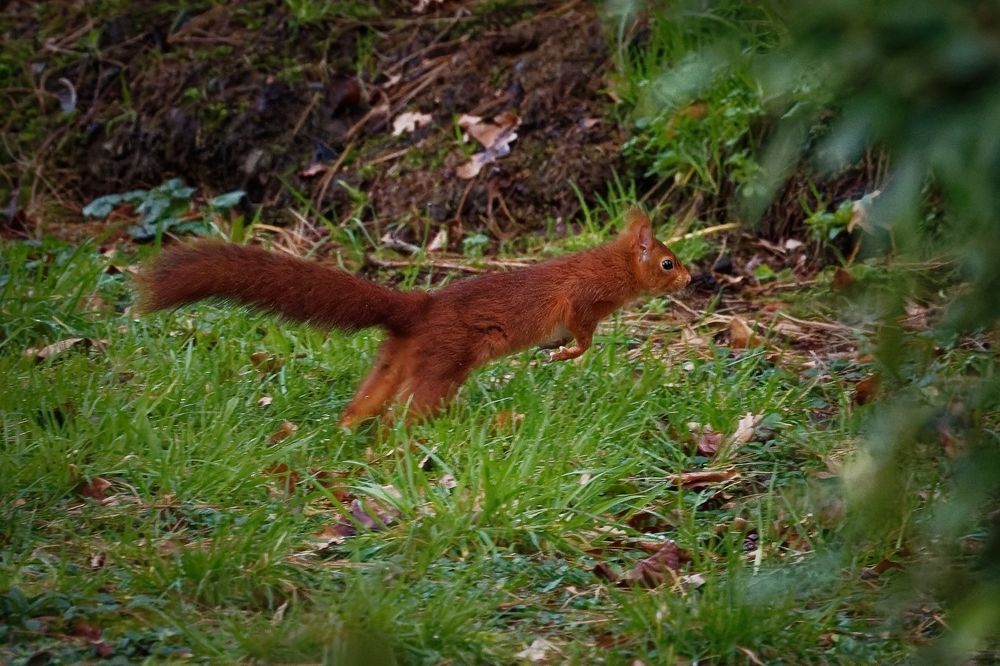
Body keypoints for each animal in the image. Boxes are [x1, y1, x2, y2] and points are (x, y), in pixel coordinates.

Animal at [137, 208, 691, 426]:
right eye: (667, 262)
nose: (692, 277)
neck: (612, 267)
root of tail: (419, 308)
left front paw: (554, 351)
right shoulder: (581, 299)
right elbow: (582, 334)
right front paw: (564, 353)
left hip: (399, 356)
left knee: (368, 398)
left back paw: (346, 430)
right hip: (443, 361)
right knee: (404, 410)